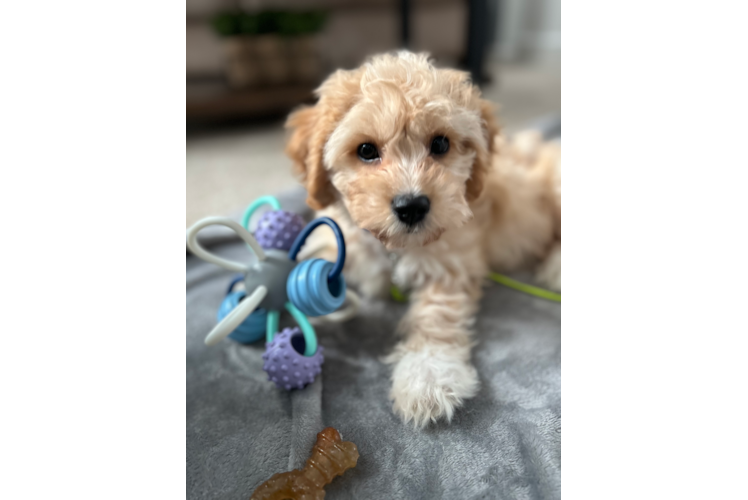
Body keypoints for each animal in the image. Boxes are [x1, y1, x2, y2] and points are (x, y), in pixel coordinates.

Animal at [284, 50, 560, 428]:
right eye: (366, 150)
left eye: (440, 144)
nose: (412, 206)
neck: (392, 249)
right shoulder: (338, 242)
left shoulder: (450, 265)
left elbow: (435, 318)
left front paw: (428, 377)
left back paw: (561, 267)